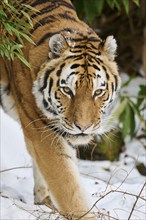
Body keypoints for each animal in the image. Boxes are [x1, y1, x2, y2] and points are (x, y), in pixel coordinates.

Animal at [0, 0, 121, 219]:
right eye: (67, 90)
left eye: (98, 92)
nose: (83, 127)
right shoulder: (42, 130)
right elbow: (68, 187)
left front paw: (43, 201)